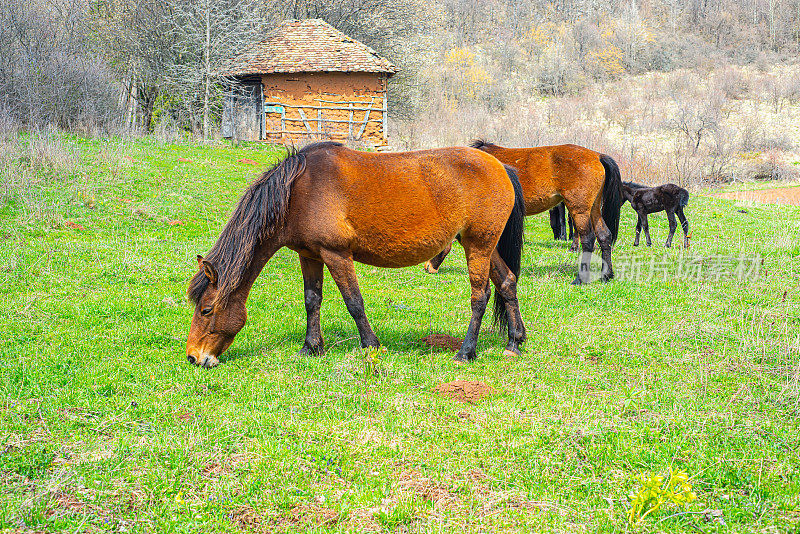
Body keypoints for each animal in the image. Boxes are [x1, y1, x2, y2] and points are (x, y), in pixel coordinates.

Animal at [184, 142, 528, 368]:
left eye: (205, 309)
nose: (193, 357)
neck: (298, 191)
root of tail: (501, 166)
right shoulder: (310, 255)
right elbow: (312, 301)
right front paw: (311, 348)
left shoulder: (336, 253)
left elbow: (354, 302)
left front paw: (371, 347)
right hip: (483, 246)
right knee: (507, 283)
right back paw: (514, 343)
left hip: (478, 246)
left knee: (480, 296)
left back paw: (466, 352)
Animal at [424, 141, 624, 284]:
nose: (427, 268)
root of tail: (597, 156)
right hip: (594, 208)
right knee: (604, 235)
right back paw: (607, 275)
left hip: (580, 209)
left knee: (588, 239)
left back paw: (580, 279)